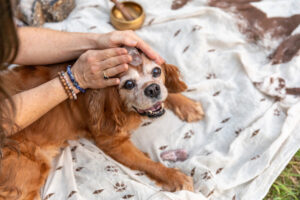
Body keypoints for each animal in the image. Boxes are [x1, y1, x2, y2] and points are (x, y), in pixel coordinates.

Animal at [0, 52, 204, 200]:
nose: (152, 89)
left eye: (156, 72)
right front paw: (175, 177)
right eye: (129, 84)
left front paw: (187, 105)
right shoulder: (112, 141)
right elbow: (149, 163)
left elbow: (167, 93)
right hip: (32, 166)